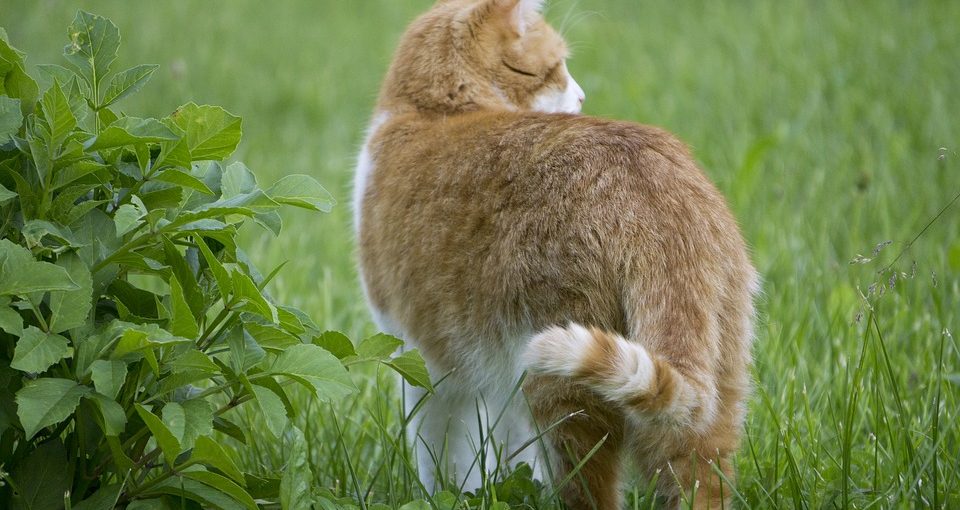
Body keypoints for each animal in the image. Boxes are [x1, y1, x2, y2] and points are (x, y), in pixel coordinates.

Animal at [352, 1, 756, 508]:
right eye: (558, 68)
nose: (582, 97)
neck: (433, 111)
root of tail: (649, 186)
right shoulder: (491, 382)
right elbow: (504, 458)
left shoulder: (430, 368)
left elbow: (443, 459)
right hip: (708, 393)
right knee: (699, 478)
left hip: (560, 389)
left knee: (589, 490)